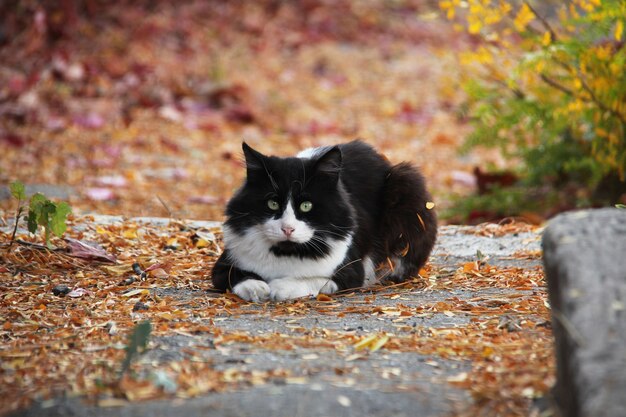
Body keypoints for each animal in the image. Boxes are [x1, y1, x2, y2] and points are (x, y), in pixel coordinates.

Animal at [210, 139, 434, 300]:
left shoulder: (352, 272)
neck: (287, 252)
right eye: (272, 204)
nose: (287, 229)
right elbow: (235, 276)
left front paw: (281, 287)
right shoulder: (222, 266)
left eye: (306, 206)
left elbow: (315, 279)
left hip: (407, 181)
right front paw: (256, 287)